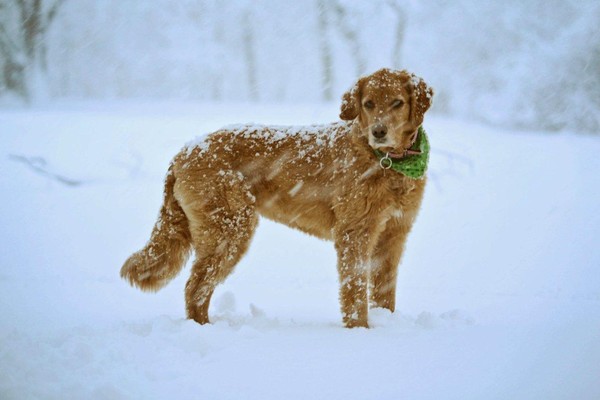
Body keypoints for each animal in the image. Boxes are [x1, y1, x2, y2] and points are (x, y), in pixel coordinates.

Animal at [120, 69, 432, 328]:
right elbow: (355, 292)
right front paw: (360, 331)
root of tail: (184, 151)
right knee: (195, 287)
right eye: (368, 103)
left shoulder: (392, 235)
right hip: (229, 229)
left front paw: (384, 323)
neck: (388, 162)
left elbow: (384, 292)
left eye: (397, 103)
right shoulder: (355, 233)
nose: (379, 132)